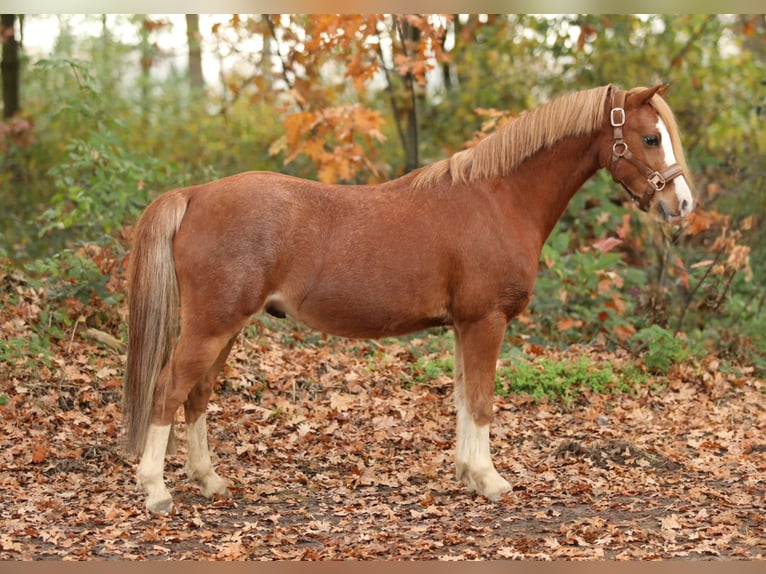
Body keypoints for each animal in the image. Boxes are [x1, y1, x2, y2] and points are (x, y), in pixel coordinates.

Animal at [123, 84, 694, 513]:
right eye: (649, 137)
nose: (682, 204)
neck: (499, 198)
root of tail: (195, 194)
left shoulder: (465, 325)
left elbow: (464, 398)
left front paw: (469, 474)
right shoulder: (486, 321)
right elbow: (482, 401)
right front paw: (491, 481)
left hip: (225, 328)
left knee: (196, 396)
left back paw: (209, 482)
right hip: (211, 326)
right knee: (168, 391)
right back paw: (155, 491)